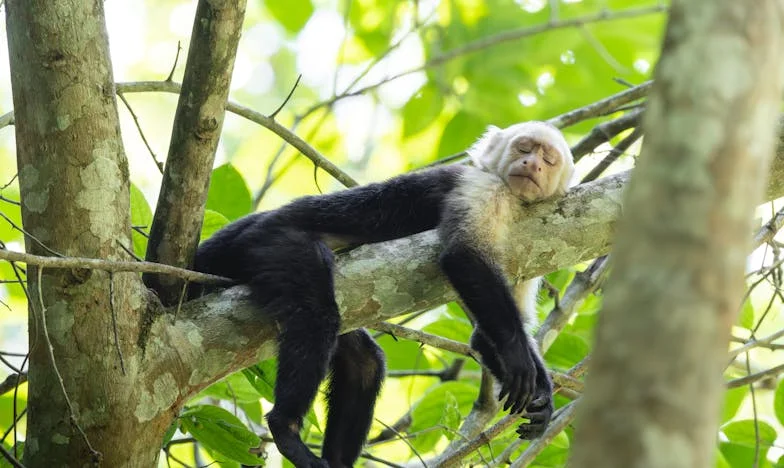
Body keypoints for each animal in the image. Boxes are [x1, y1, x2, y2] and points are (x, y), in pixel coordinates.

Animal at [194, 121, 576, 468]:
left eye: (549, 159)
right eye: (524, 147)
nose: (531, 164)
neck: (515, 201)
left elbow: (483, 336)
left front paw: (541, 396)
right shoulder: (482, 189)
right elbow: (463, 257)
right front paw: (518, 358)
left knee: (364, 360)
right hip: (272, 242)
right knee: (317, 314)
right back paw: (285, 428)